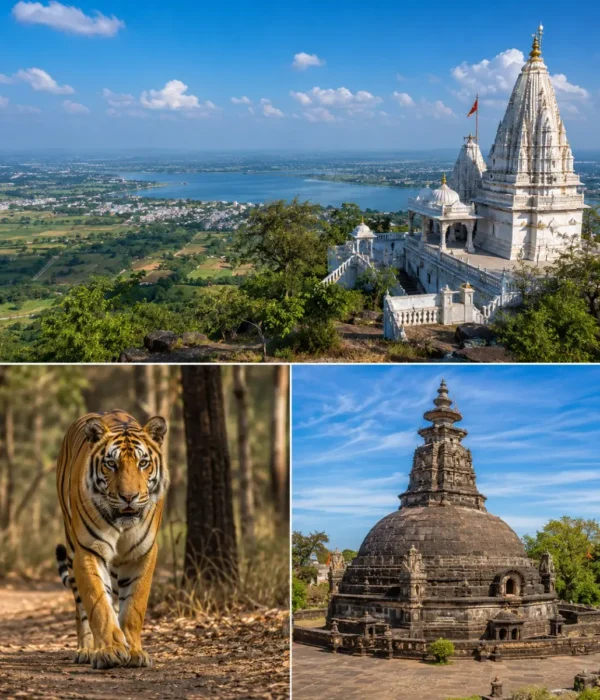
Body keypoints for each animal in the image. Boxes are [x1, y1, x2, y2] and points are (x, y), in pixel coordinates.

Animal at [55, 409, 168, 670]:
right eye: (111, 464)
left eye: (143, 463)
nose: (129, 497)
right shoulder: (88, 550)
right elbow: (99, 604)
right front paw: (110, 651)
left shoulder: (142, 553)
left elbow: (134, 606)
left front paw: (135, 651)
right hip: (71, 546)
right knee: (82, 606)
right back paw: (88, 650)